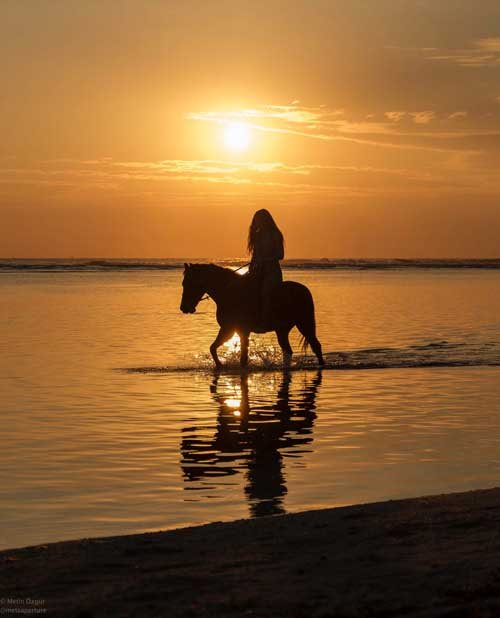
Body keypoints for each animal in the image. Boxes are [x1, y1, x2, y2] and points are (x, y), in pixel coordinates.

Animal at [180, 262, 324, 368]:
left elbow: (242, 357)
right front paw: (220, 366)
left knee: (316, 346)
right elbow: (213, 348)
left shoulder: (238, 330)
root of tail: (304, 290)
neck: (228, 293)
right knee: (288, 350)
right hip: (282, 330)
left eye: (189, 283)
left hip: (304, 324)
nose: (184, 308)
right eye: (183, 283)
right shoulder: (229, 329)